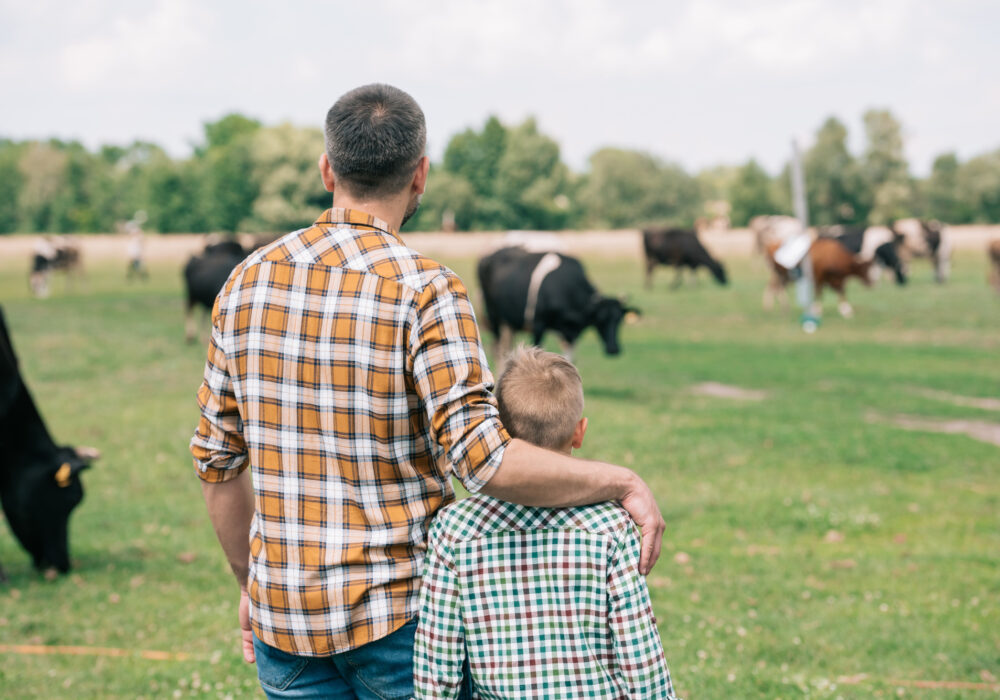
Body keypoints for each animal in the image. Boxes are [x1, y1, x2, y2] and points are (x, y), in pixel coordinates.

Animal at [474, 246, 632, 366]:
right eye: (601, 319)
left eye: (619, 320)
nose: (613, 349)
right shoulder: (538, 324)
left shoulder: (571, 333)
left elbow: (569, 360)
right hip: (494, 316)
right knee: (497, 350)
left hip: (508, 323)